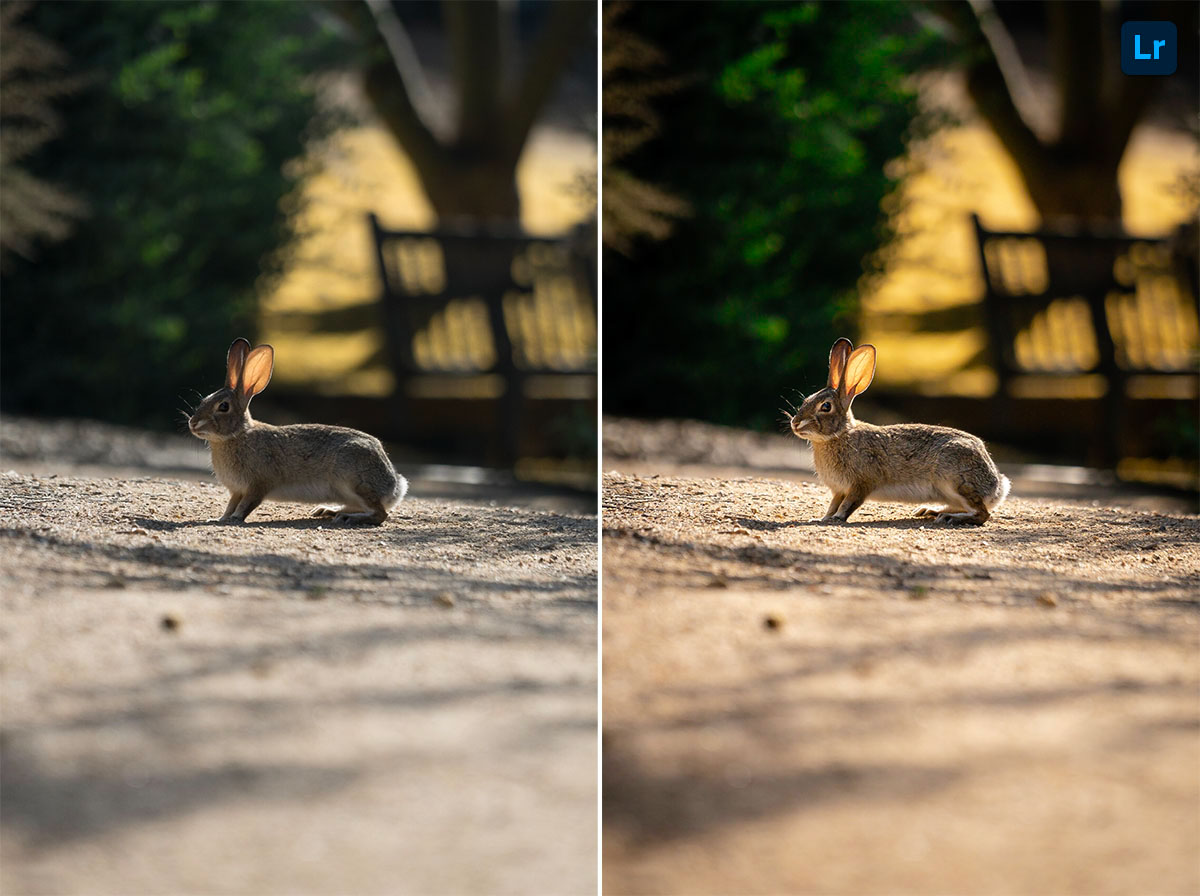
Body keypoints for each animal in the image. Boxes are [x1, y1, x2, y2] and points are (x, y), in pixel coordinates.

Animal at [188, 338, 407, 525]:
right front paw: (219, 518)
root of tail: (394, 485)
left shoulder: (258, 484)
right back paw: (329, 511)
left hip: (352, 479)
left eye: (223, 407)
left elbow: (246, 505)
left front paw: (233, 519)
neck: (237, 435)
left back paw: (347, 518)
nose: (193, 423)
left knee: (381, 514)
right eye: (204, 399)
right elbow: (231, 504)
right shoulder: (237, 490)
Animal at [789, 338, 1010, 525]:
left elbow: (848, 504)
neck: (839, 435)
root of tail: (997, 486)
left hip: (955, 480)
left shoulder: (861, 483)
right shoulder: (839, 490)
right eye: (806, 399)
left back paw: (948, 518)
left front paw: (836, 519)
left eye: (826, 407)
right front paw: (822, 518)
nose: (795, 423)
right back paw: (932, 511)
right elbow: (834, 503)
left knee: (982, 514)